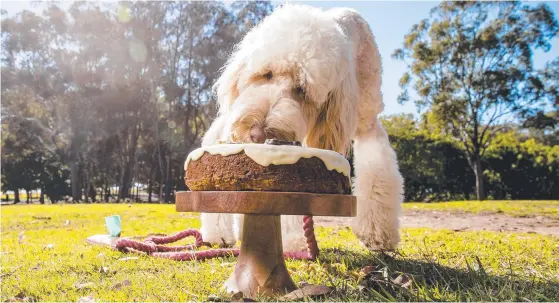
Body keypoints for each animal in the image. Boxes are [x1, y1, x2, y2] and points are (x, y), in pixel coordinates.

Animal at [196, 4, 402, 252]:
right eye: (266, 74)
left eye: (302, 90)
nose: (257, 134)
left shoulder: (367, 125)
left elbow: (378, 171)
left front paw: (377, 233)